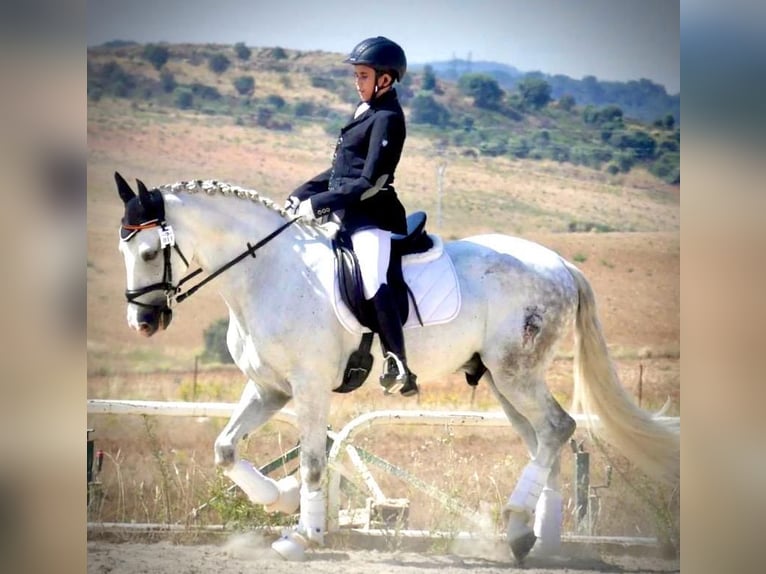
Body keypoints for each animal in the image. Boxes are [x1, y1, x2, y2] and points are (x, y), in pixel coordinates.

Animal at [112, 174, 680, 564]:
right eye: (124, 248)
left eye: (150, 251)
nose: (143, 322)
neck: (268, 272)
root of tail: (561, 264)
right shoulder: (268, 388)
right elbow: (225, 449)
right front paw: (281, 498)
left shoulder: (309, 386)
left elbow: (314, 460)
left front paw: (304, 535)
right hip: (505, 380)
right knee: (544, 437)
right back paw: (529, 537)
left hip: (516, 373)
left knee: (557, 428)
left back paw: (522, 526)